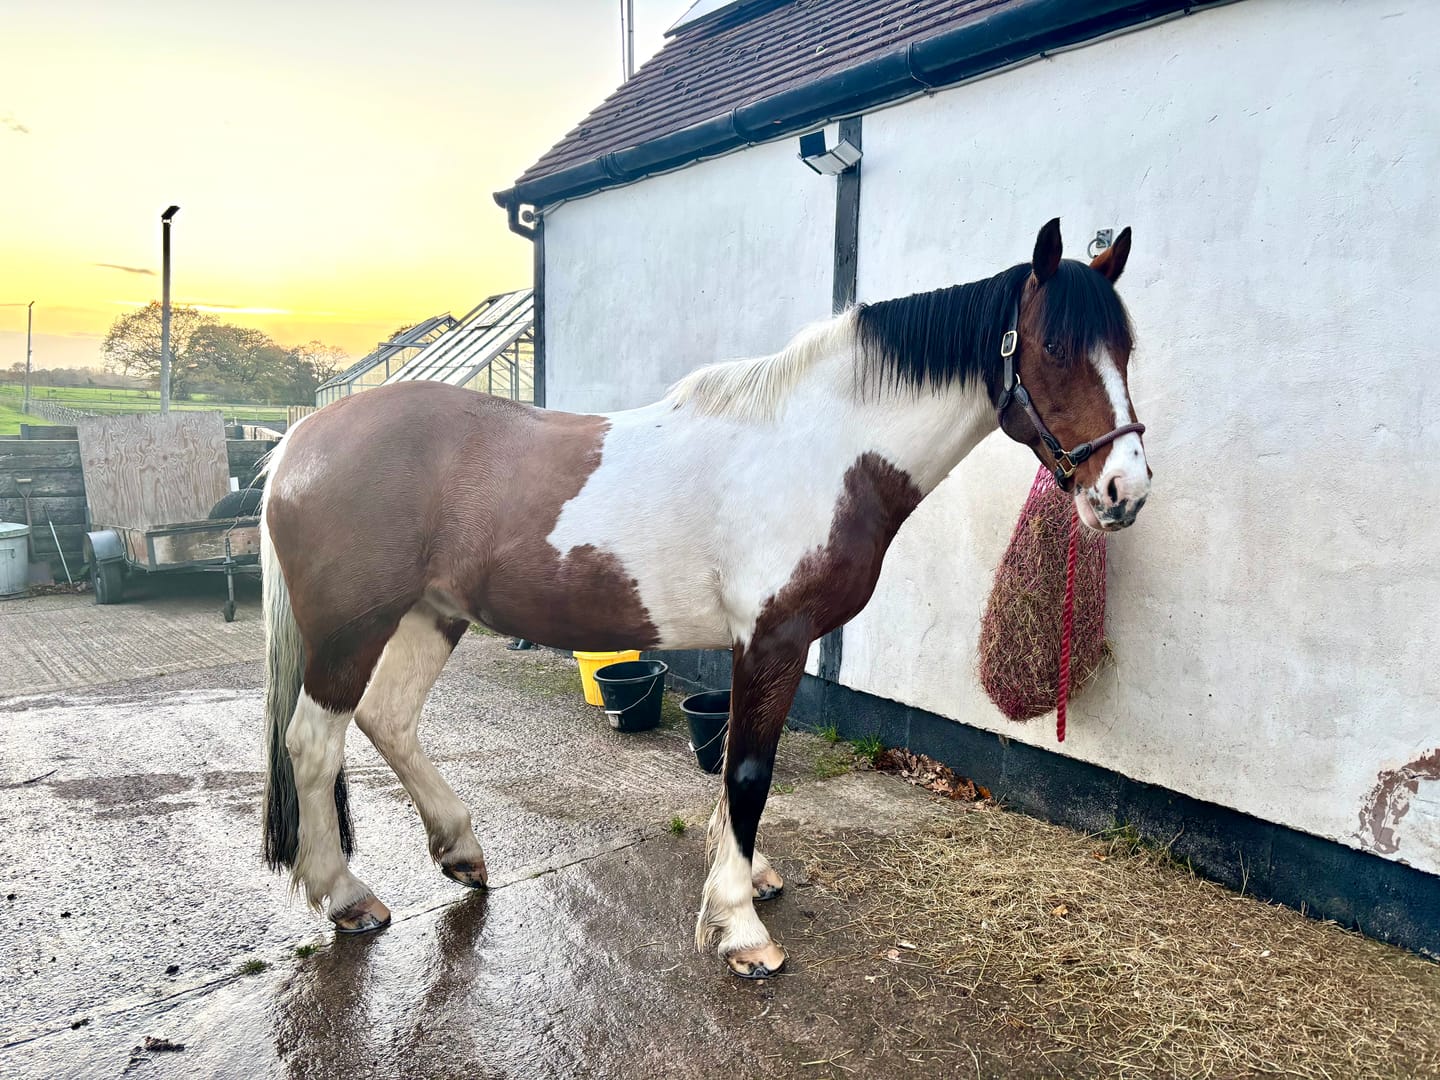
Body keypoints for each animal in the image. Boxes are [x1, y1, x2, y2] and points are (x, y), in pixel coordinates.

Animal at [258, 219, 1149, 979]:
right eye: (1055, 347)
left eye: (1128, 346)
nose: (1125, 491)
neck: (817, 449)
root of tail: (301, 438)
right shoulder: (774, 639)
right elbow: (750, 771)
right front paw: (740, 929)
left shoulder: (752, 645)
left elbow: (728, 767)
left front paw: (747, 881)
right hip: (352, 630)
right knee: (315, 741)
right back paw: (348, 898)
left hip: (430, 615)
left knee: (388, 719)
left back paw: (461, 852)